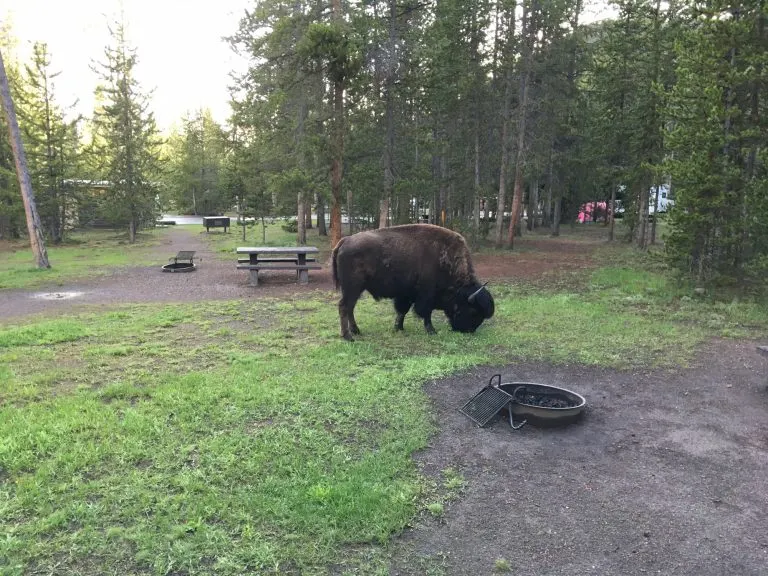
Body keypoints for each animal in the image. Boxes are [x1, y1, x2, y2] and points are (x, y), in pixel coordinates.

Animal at [332, 224, 496, 342]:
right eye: (473, 311)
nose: (469, 331)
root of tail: (344, 241)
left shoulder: (407, 295)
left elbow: (402, 311)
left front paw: (398, 328)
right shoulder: (426, 295)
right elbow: (426, 313)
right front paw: (432, 331)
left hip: (355, 290)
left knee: (350, 308)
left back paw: (356, 331)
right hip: (352, 288)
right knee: (344, 307)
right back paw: (348, 337)